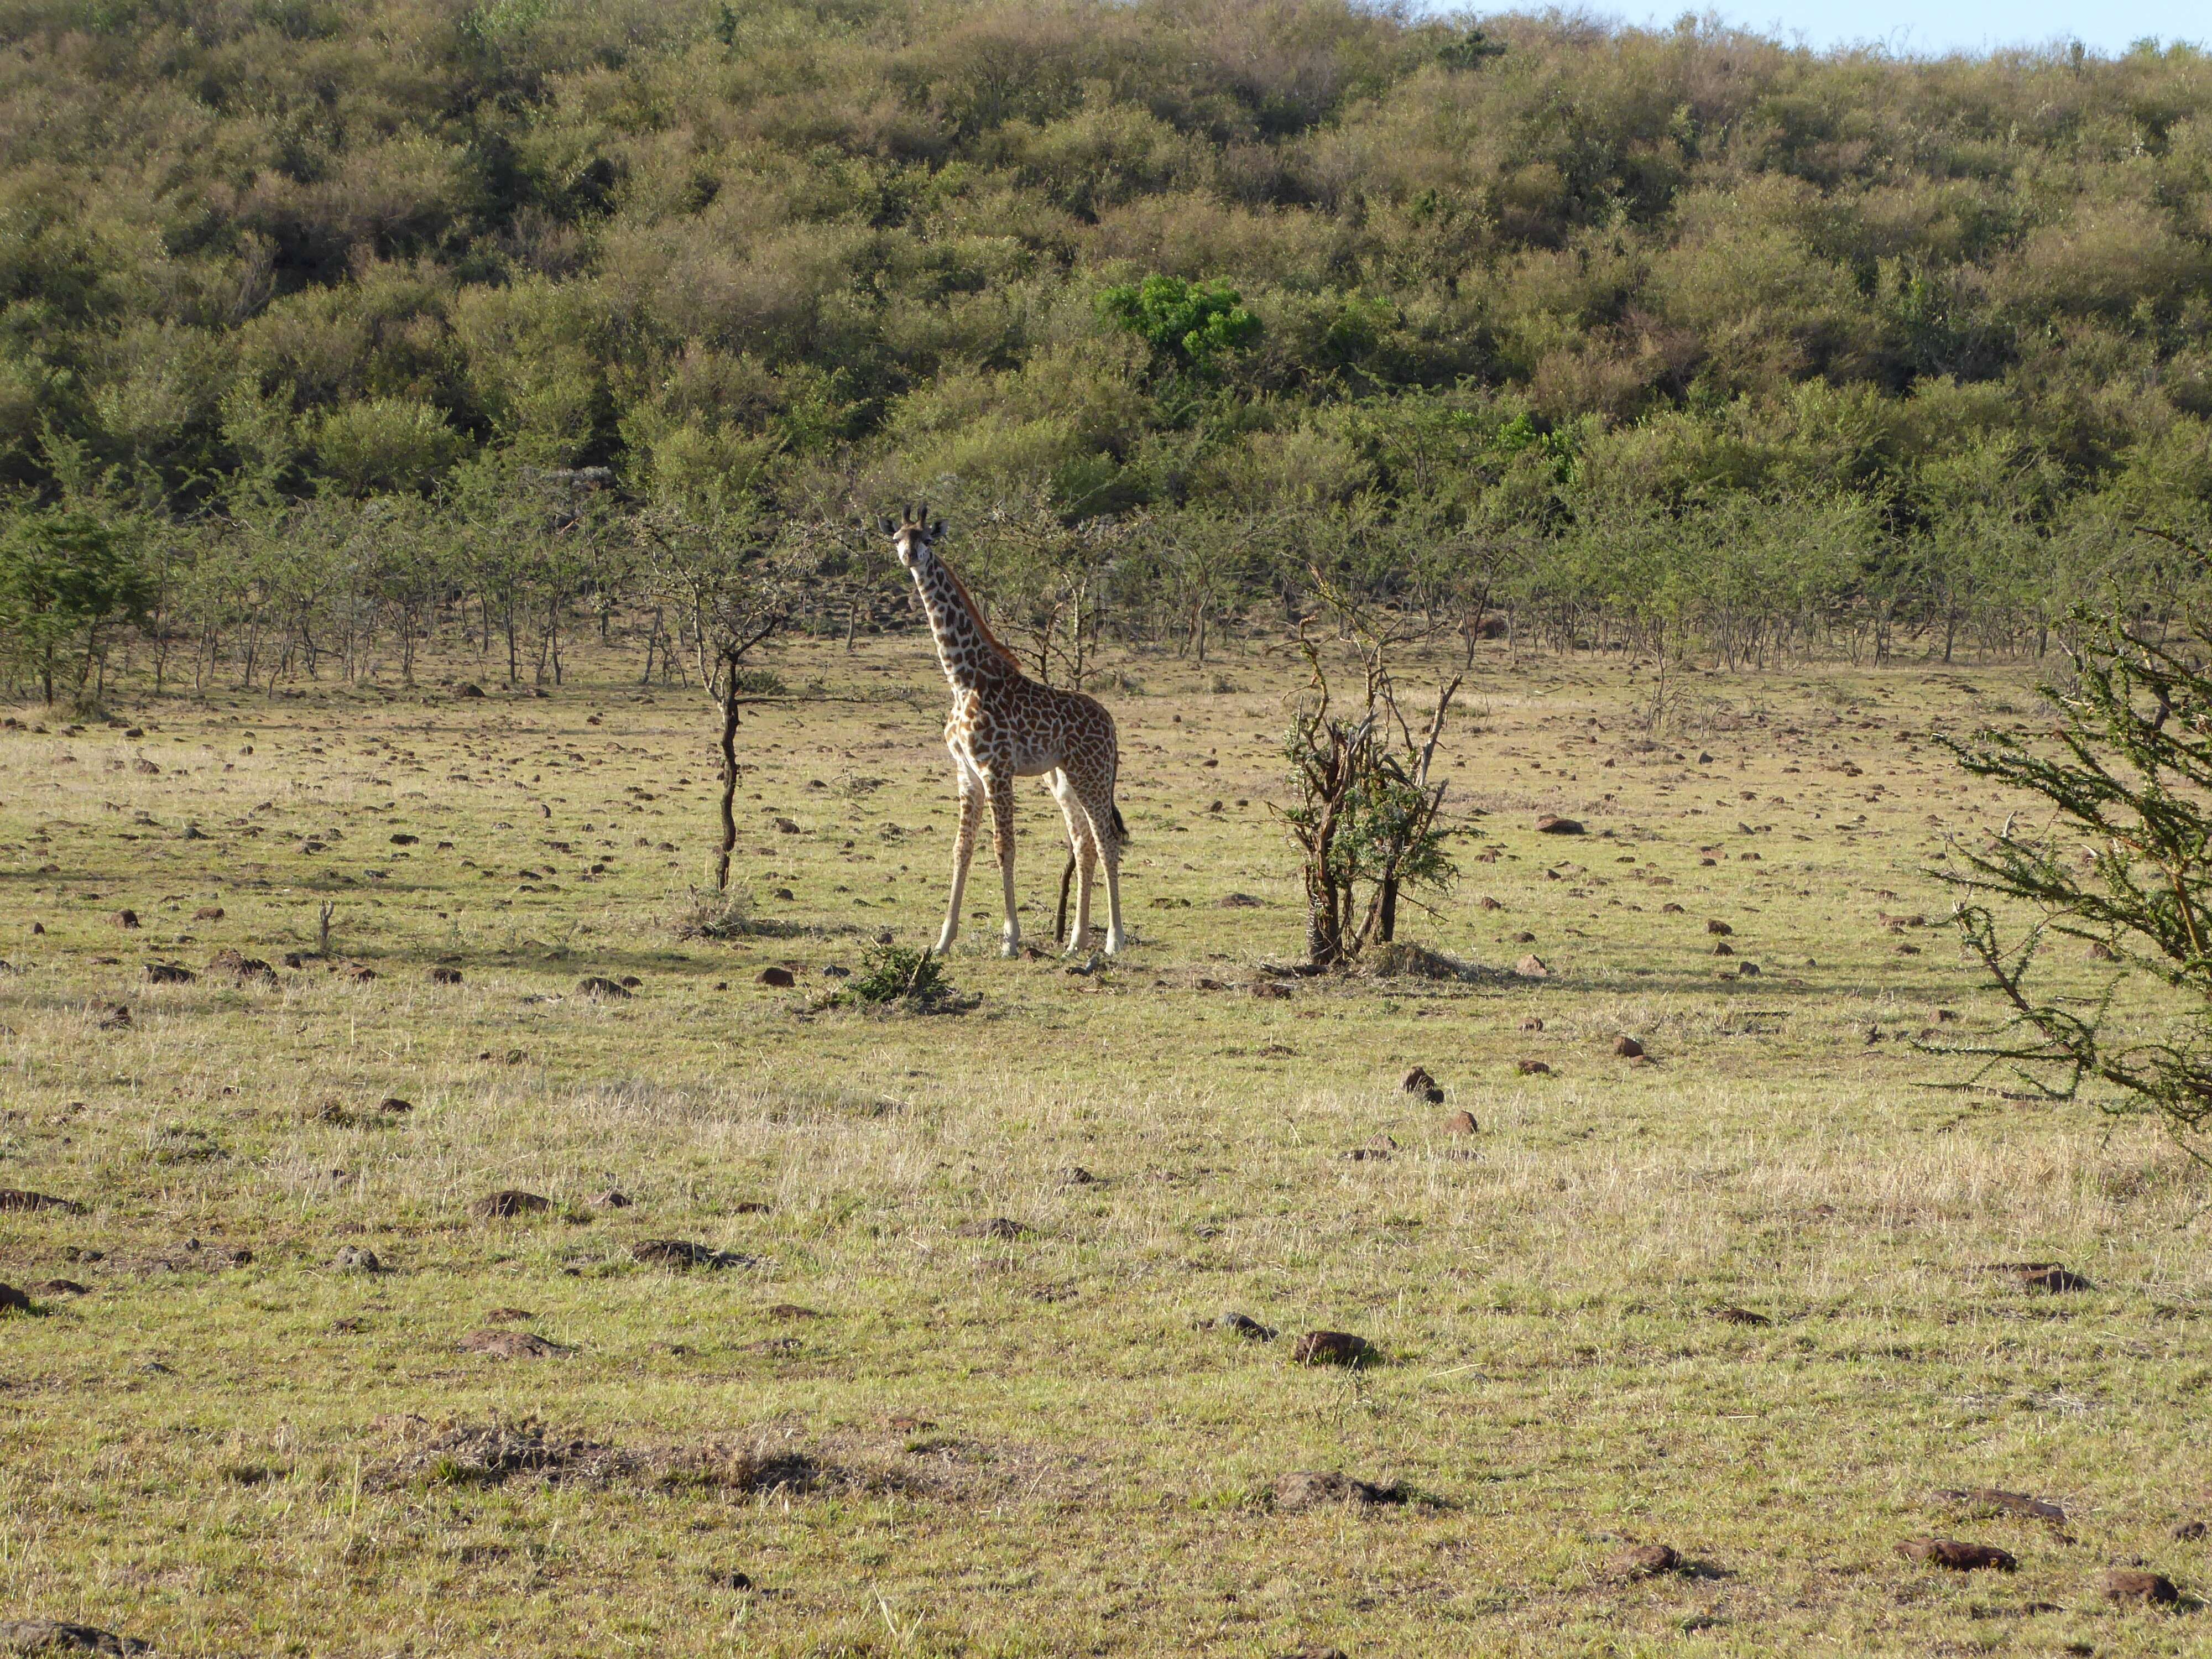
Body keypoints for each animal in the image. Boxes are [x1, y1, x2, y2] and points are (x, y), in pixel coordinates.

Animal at [880, 507, 1124, 960]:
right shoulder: (967, 773)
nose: (910, 556)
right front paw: (943, 940)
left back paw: (1115, 939)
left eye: (928, 539)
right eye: (898, 538)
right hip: (1062, 778)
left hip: (1093, 775)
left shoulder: (997, 770)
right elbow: (961, 850)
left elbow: (1003, 848)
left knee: (1106, 840)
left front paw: (1011, 940)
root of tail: (1112, 725)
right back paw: (1076, 942)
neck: (963, 680)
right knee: (1083, 844)